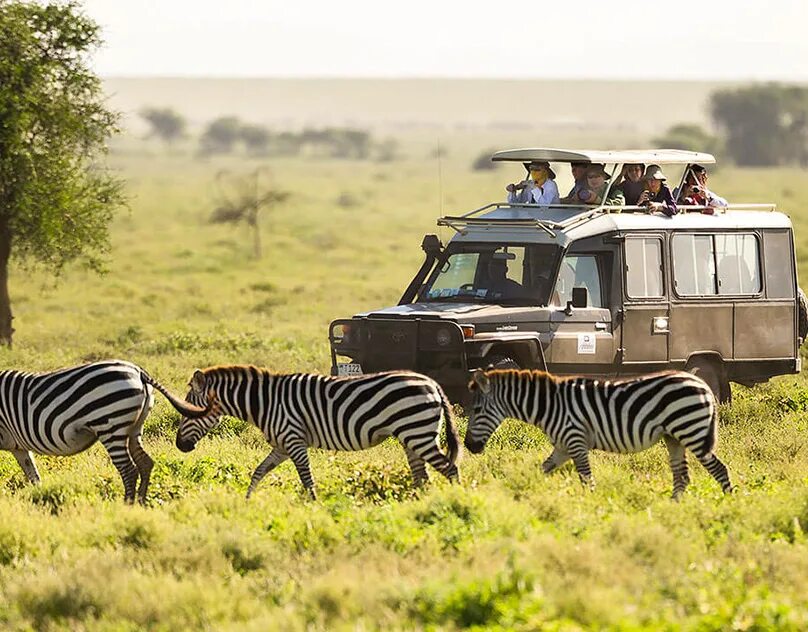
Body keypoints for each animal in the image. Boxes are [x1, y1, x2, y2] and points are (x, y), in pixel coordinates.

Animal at [0, 360, 213, 504]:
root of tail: (138, 372)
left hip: (110, 425)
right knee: (145, 463)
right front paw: (39, 497)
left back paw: (127, 505)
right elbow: (34, 476)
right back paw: (141, 503)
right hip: (134, 428)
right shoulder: (18, 447)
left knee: (129, 470)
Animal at [175, 366, 460, 498]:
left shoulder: (294, 439)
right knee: (422, 476)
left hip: (417, 432)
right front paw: (246, 502)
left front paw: (315, 508)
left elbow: (307, 479)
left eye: (188, 411)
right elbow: (258, 472)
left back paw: (457, 502)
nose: (179, 445)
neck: (265, 402)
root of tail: (432, 383)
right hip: (411, 435)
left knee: (450, 469)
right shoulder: (280, 446)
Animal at [460, 370, 732, 498]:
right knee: (682, 477)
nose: (469, 446)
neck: (549, 406)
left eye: (476, 410)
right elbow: (541, 470)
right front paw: (520, 492)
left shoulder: (575, 441)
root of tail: (703, 385)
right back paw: (671, 508)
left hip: (692, 431)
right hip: (674, 437)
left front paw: (589, 506)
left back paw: (729, 505)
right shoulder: (562, 447)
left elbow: (586, 479)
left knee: (719, 469)